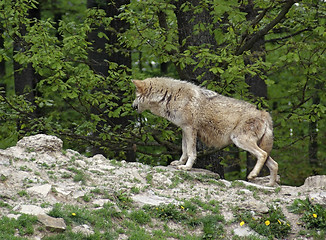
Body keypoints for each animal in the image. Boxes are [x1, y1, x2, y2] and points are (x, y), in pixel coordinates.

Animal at [132, 77, 278, 186]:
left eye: (136, 96)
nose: (132, 106)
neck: (170, 96)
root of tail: (265, 114)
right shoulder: (184, 129)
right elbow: (184, 150)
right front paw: (180, 163)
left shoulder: (190, 129)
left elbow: (191, 152)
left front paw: (187, 167)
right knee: (274, 164)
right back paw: (270, 185)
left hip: (240, 140)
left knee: (263, 155)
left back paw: (253, 175)